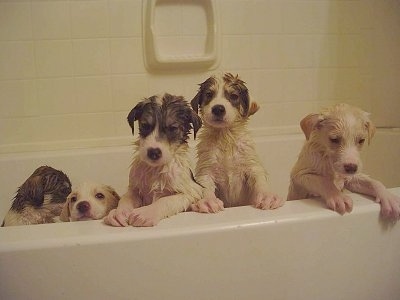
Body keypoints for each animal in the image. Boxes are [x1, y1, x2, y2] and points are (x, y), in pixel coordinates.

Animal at [103, 92, 203, 226]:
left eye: (172, 128)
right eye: (145, 125)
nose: (153, 152)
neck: (156, 169)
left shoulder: (192, 191)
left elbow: (166, 200)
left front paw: (146, 213)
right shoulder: (135, 189)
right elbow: (126, 198)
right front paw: (119, 212)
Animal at [191, 72, 284, 213]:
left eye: (234, 96)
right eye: (209, 95)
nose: (218, 109)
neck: (225, 138)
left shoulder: (251, 165)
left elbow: (259, 180)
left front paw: (267, 196)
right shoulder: (206, 169)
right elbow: (206, 185)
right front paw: (208, 201)